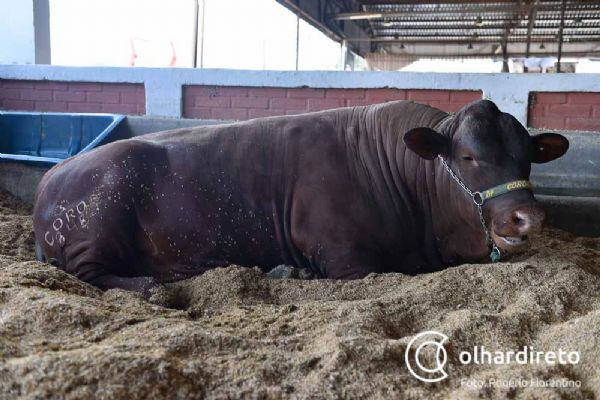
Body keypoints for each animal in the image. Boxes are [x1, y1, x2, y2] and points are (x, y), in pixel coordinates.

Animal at [31, 100, 568, 294]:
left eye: (528, 158)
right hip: (97, 221)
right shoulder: (346, 256)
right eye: (468, 156)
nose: (527, 217)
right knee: (89, 272)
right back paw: (149, 286)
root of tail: (53, 175)